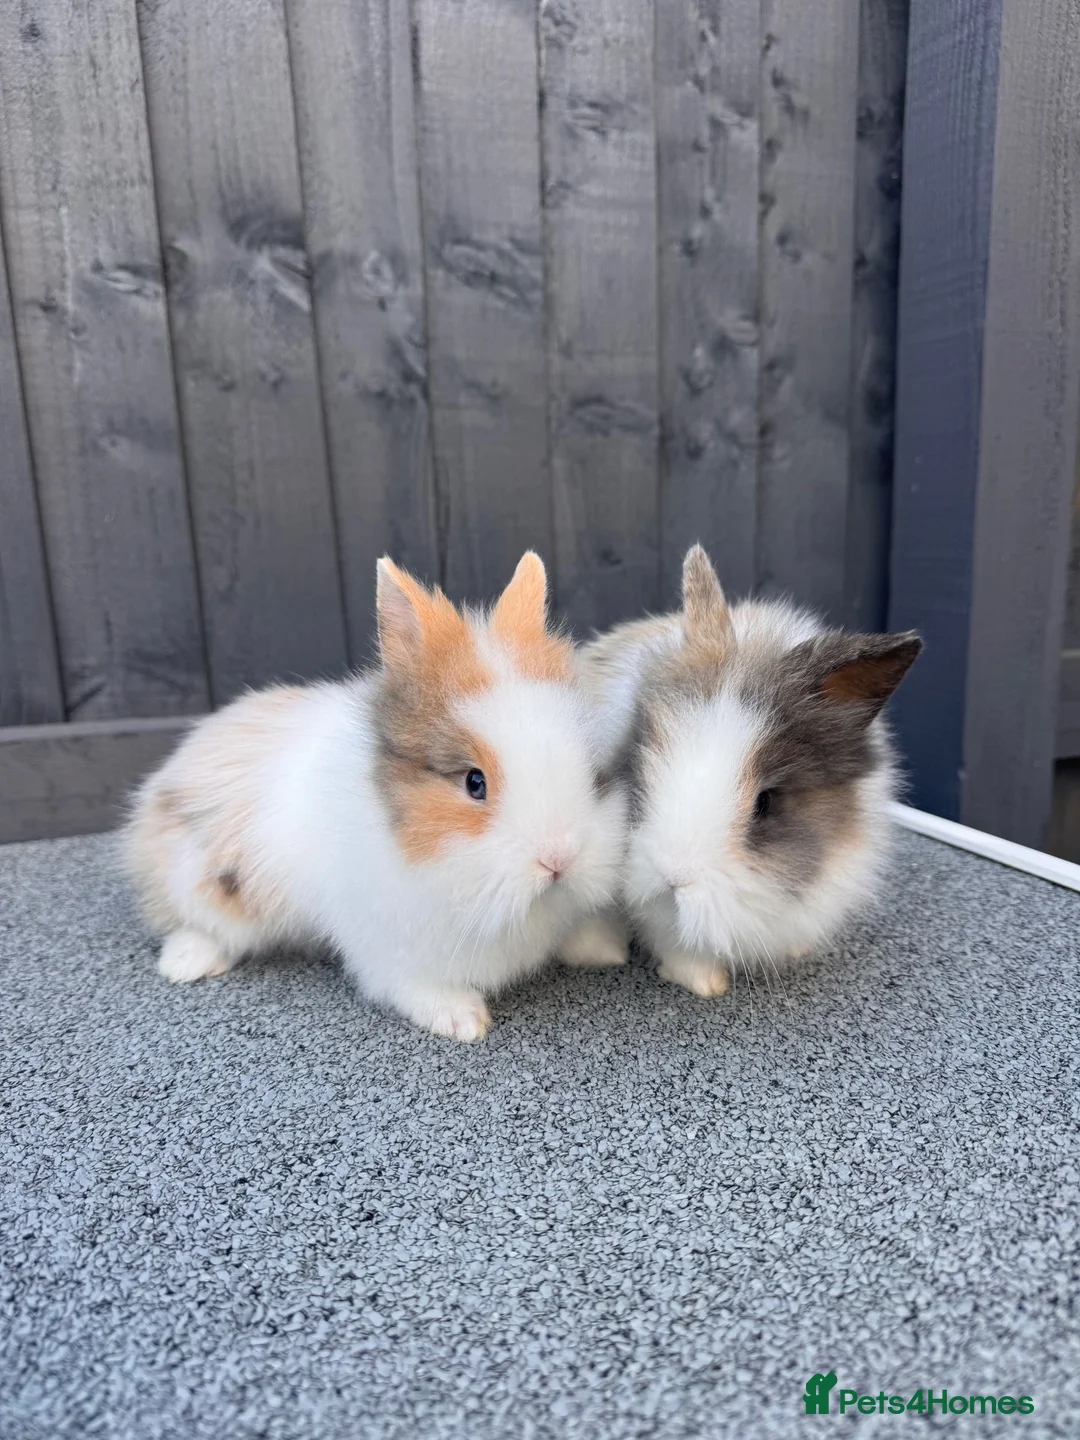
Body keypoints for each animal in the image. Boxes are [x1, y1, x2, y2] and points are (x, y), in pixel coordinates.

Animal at [124, 552, 627, 1041]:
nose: (559, 859)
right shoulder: (389, 947)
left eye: (586, 765)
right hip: (202, 882)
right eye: (474, 782)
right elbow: (413, 985)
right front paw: (462, 1020)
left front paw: (607, 950)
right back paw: (184, 965)